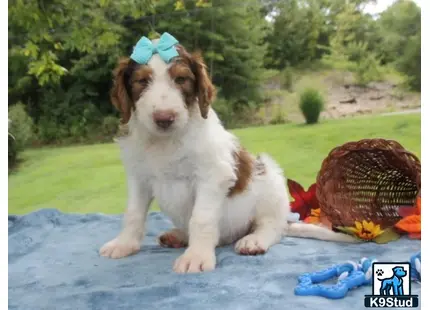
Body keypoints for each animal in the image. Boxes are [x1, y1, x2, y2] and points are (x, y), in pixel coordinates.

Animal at [101, 38, 356, 274]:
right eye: (142, 81)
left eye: (181, 79)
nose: (164, 118)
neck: (165, 142)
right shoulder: (139, 177)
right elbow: (133, 213)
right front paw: (124, 244)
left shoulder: (212, 175)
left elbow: (201, 218)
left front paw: (196, 257)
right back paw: (178, 236)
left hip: (270, 180)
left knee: (273, 227)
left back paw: (254, 240)